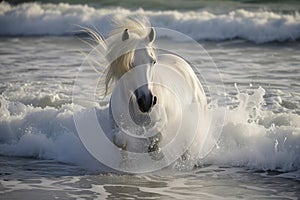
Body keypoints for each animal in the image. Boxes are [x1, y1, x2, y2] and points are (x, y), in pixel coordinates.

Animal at [86, 16, 207, 161]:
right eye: (130, 64)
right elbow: (120, 141)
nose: (147, 101)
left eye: (153, 61)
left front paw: (155, 151)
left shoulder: (162, 122)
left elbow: (157, 137)